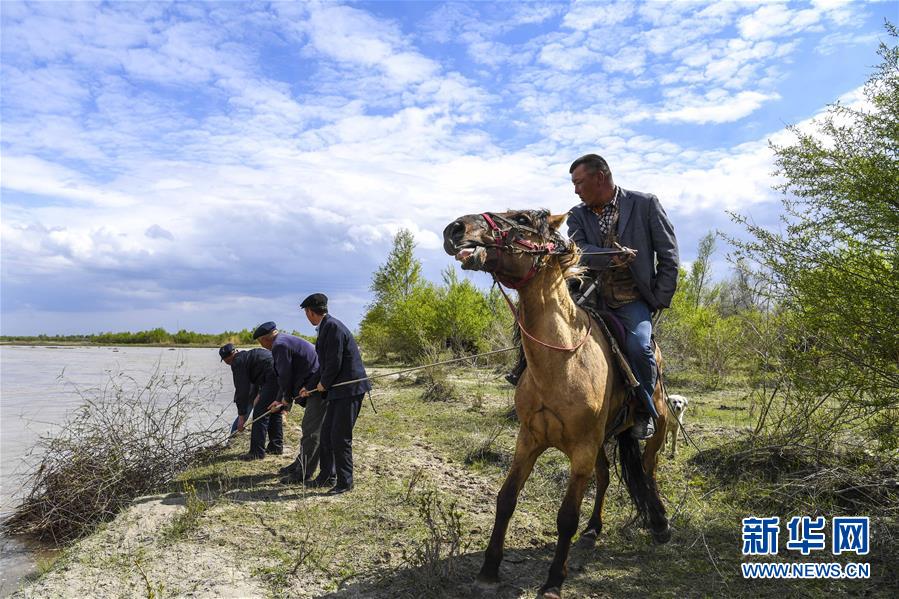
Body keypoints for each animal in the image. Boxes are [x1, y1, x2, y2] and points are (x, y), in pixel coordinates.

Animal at [444, 211, 676, 599]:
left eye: (523, 218)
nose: (455, 229)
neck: (563, 361)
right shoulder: (529, 441)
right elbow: (506, 500)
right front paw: (489, 570)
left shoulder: (581, 449)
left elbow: (566, 517)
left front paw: (553, 581)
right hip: (600, 442)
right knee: (606, 476)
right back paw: (594, 529)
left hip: (653, 428)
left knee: (647, 470)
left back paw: (659, 522)